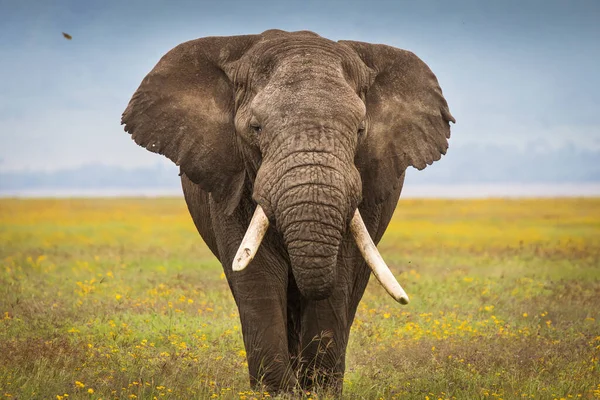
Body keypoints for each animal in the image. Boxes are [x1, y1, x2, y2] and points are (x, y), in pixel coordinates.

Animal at [119, 29, 452, 396]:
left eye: (360, 131)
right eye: (256, 128)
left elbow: (339, 273)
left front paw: (318, 392)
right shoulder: (232, 179)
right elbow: (258, 274)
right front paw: (277, 392)